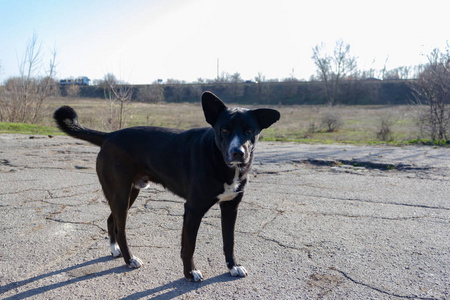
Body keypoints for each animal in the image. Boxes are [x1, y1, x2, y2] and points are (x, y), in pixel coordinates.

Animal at [52, 91, 278, 282]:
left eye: (249, 131)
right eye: (224, 130)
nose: (238, 152)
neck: (219, 160)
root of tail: (109, 136)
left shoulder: (231, 207)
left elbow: (229, 241)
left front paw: (233, 267)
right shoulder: (193, 209)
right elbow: (189, 245)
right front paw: (190, 272)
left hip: (129, 193)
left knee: (111, 220)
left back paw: (115, 249)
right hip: (121, 193)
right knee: (120, 228)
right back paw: (129, 259)